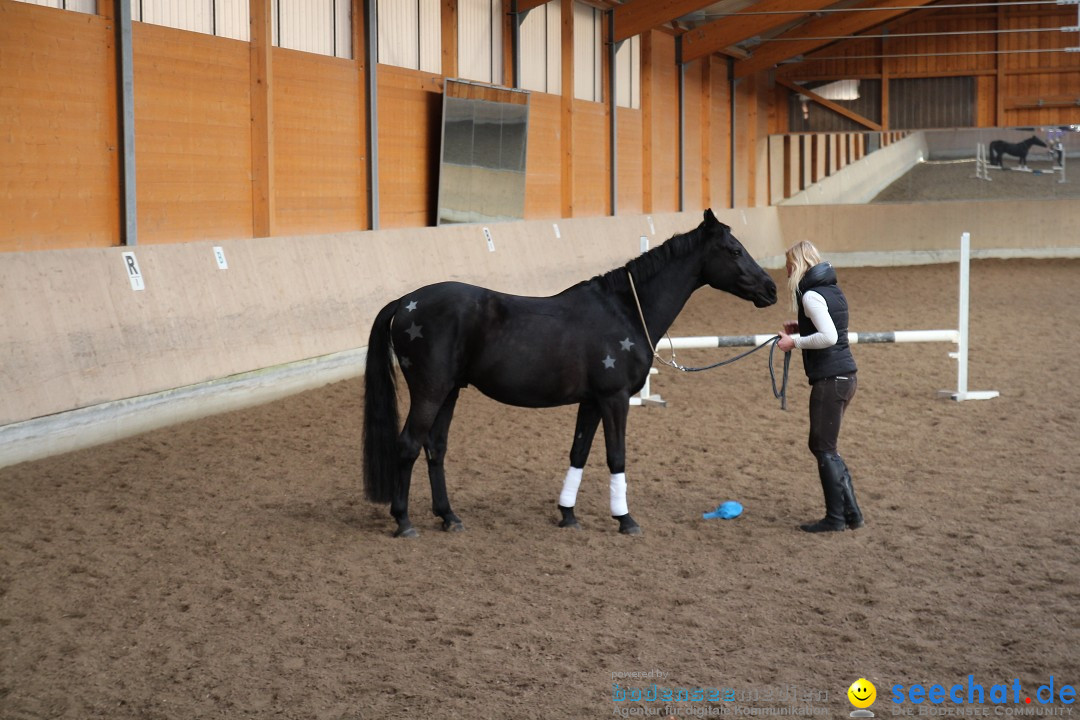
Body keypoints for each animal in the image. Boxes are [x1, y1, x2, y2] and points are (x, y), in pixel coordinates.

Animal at [362, 208, 777, 535]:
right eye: (734, 249)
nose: (771, 289)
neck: (625, 310)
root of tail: (406, 302)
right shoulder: (614, 399)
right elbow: (616, 456)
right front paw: (625, 520)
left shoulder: (592, 402)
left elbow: (578, 453)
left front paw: (567, 514)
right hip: (430, 391)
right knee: (409, 444)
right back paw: (404, 521)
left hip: (450, 391)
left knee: (435, 447)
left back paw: (449, 517)